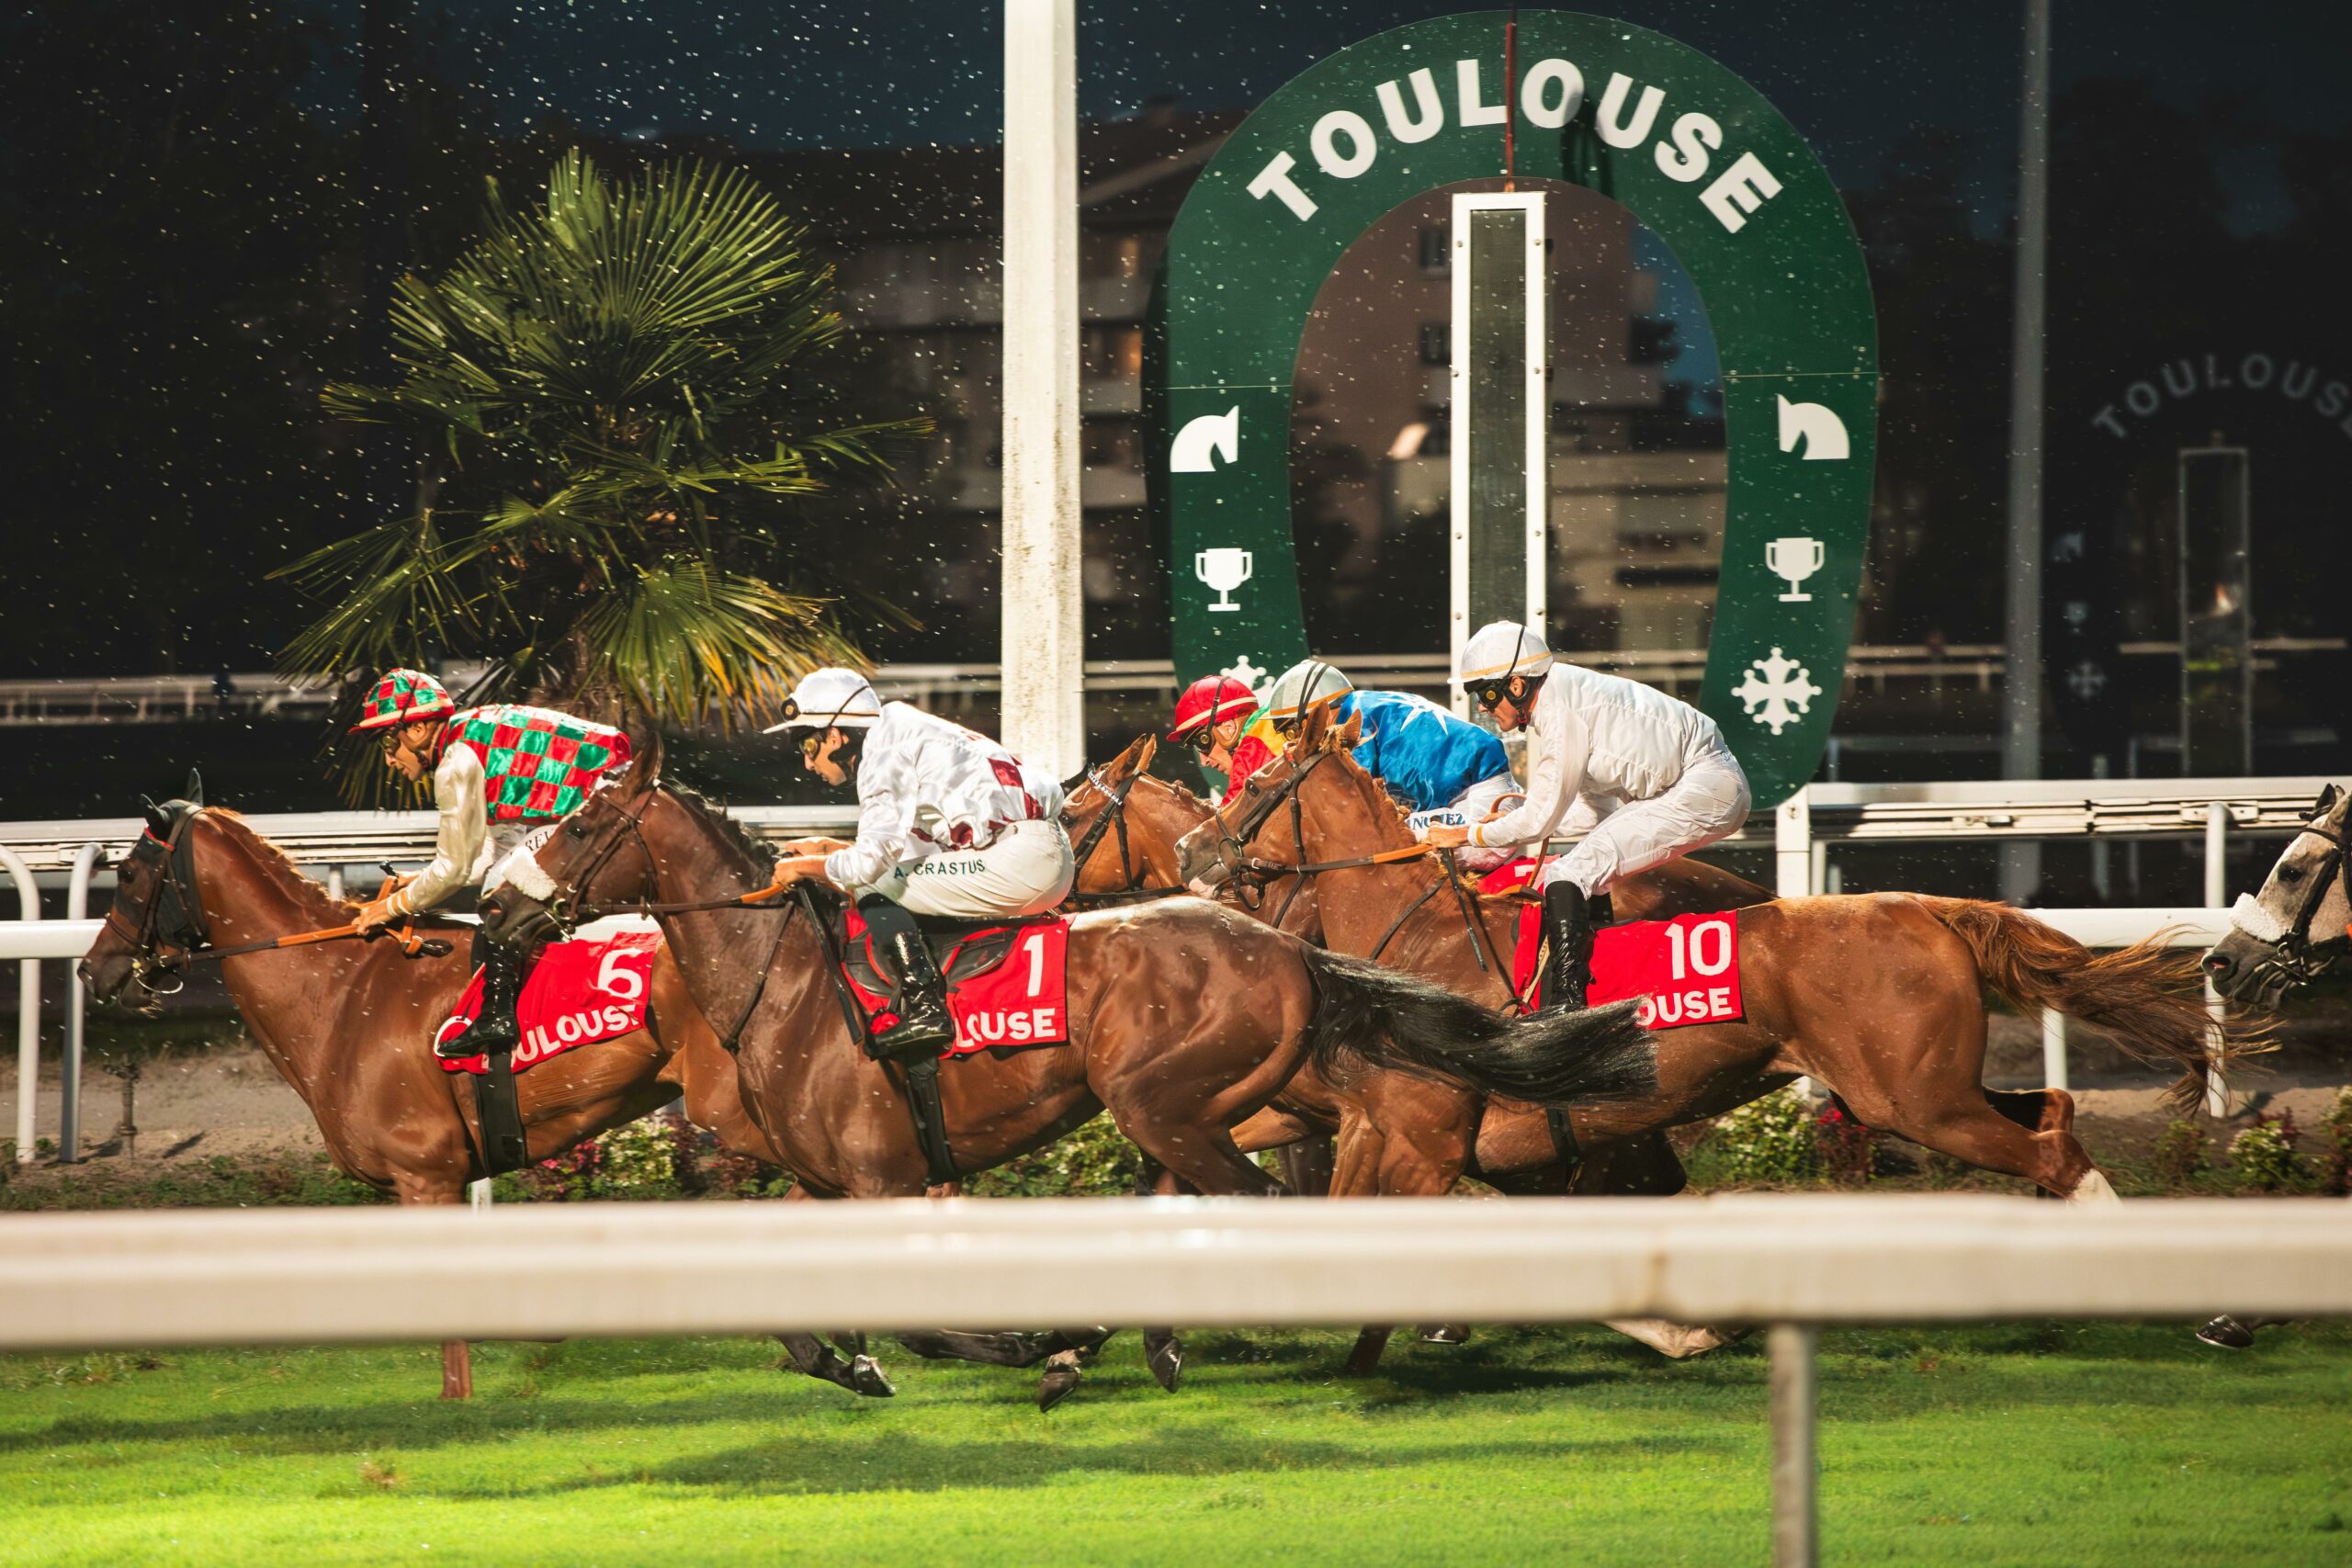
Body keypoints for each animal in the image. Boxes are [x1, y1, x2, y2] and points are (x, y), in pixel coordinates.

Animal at [1185, 705, 2248, 1222]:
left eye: (1258, 782)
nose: (1197, 852)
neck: (1419, 943)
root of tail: (1931, 909)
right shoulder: (1356, 1116)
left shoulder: (1417, 1133)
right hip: (1919, 1089)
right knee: (2053, 1114)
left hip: (1915, 1097)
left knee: (2051, 1147)